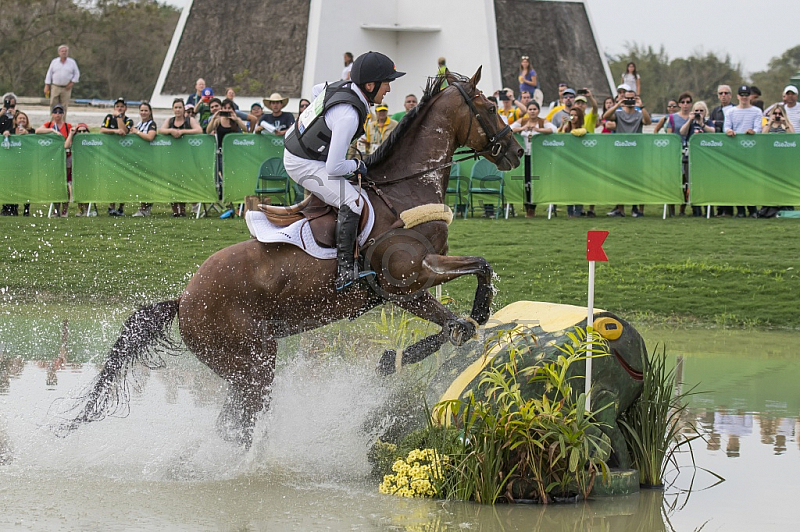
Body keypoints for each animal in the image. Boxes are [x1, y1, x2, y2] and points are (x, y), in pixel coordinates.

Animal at [61, 68, 524, 446]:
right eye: (489, 107)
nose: (517, 152)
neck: (406, 189)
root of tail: (184, 300)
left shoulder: (403, 292)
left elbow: (457, 323)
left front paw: (393, 361)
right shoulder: (407, 277)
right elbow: (476, 281)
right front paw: (409, 352)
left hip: (245, 368)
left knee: (233, 422)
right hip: (254, 362)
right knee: (240, 423)